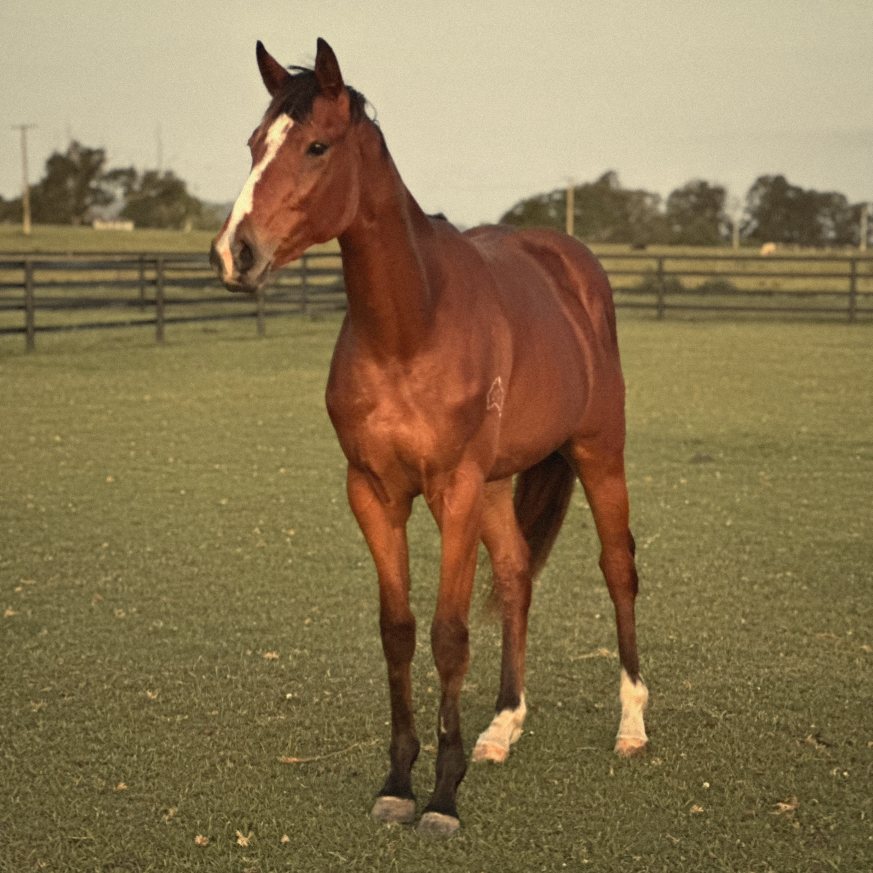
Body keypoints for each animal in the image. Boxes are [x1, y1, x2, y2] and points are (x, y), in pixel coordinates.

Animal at [211, 37, 649, 837]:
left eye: (316, 146)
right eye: (254, 144)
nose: (234, 253)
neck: (411, 326)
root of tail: (573, 267)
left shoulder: (454, 492)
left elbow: (448, 633)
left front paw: (442, 798)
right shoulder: (373, 493)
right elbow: (399, 629)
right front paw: (397, 781)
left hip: (598, 454)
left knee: (617, 568)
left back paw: (631, 723)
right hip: (503, 482)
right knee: (516, 573)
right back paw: (502, 726)